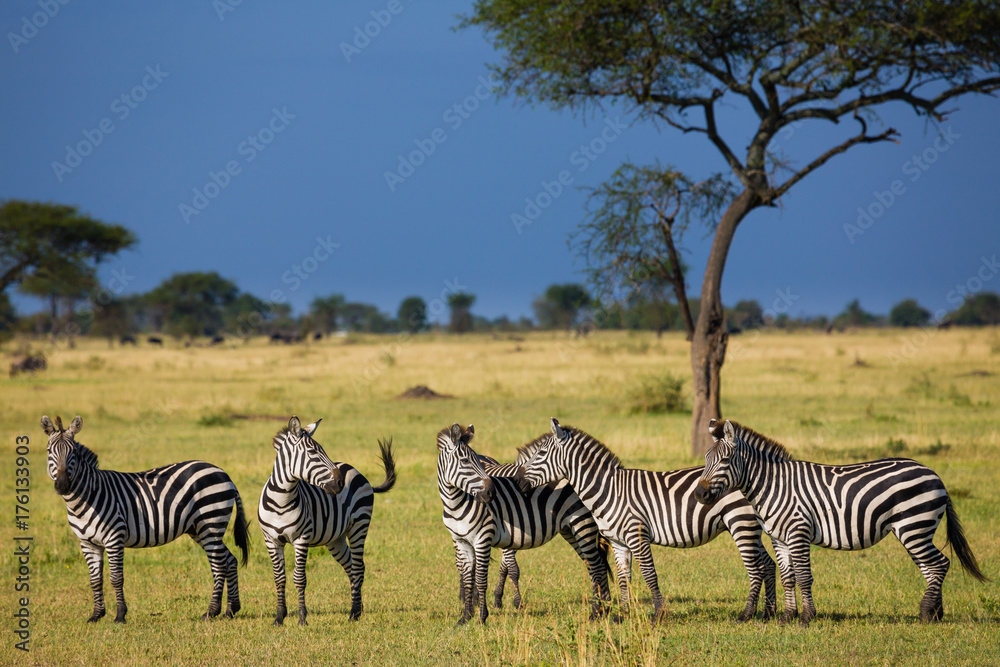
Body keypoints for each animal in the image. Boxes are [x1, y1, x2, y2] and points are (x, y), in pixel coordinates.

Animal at [42, 414, 249, 623]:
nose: (62, 485)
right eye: (49, 451)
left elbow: (116, 578)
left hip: (211, 522)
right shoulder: (87, 543)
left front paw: (120, 615)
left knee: (219, 565)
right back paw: (231, 609)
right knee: (230, 560)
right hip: (200, 529)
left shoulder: (114, 538)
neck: (86, 499)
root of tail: (223, 473)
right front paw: (96, 615)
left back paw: (211, 612)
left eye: (74, 452)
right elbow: (95, 580)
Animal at [258, 415, 396, 625]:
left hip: (359, 526)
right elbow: (279, 578)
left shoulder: (302, 538)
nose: (340, 483)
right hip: (335, 539)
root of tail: (354, 469)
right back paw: (358, 607)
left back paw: (353, 613)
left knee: (358, 568)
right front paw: (279, 617)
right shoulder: (271, 540)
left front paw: (302, 618)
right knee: (351, 567)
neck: (281, 500)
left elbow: (299, 578)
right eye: (313, 452)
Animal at [437, 423, 611, 626]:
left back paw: (601, 609)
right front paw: (467, 615)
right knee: (594, 565)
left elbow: (491, 575)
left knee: (596, 565)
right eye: (464, 461)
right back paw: (604, 608)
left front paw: (486, 614)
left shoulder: (489, 537)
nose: (491, 493)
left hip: (582, 525)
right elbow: (472, 575)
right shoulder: (465, 540)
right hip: (571, 529)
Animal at [514, 418, 777, 624]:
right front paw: (621, 615)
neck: (609, 490)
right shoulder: (618, 541)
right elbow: (623, 579)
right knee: (768, 564)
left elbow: (650, 574)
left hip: (740, 522)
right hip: (750, 526)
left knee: (756, 568)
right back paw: (769, 613)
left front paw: (658, 614)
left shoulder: (636, 534)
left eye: (540, 454)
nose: (517, 482)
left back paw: (747, 614)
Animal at [695, 418, 988, 626]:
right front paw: (787, 617)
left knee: (939, 564)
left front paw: (806, 618)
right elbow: (788, 577)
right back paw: (935, 613)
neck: (773, 485)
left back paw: (927, 614)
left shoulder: (798, 531)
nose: (699, 494)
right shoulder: (779, 537)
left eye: (724, 460)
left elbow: (804, 577)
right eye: (706, 459)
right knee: (931, 567)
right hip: (915, 530)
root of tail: (934, 473)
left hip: (914, 526)